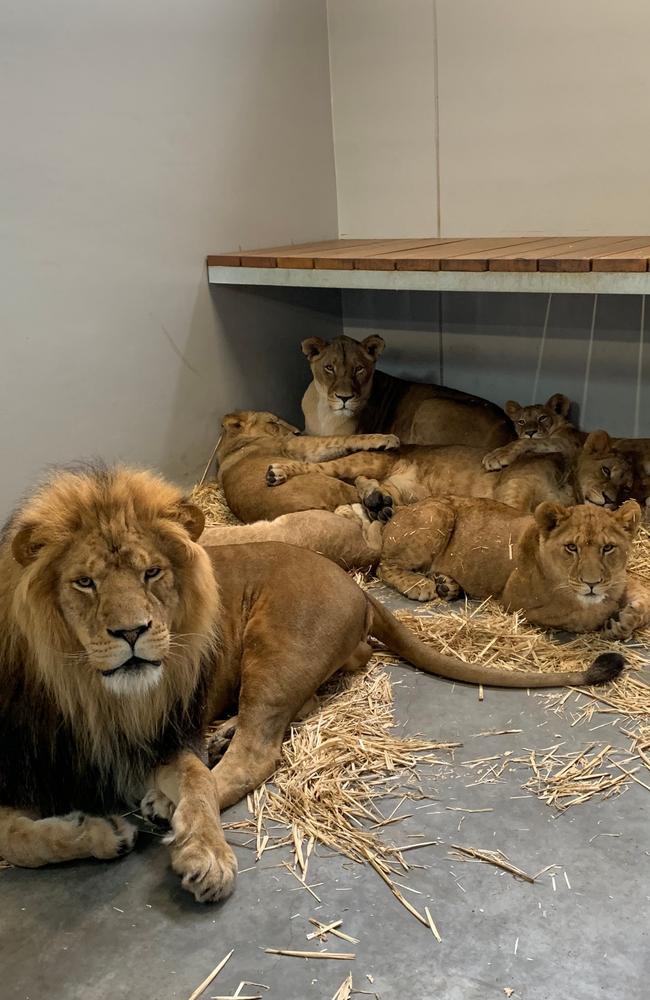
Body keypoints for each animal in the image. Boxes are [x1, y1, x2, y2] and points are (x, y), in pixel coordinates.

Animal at [3, 464, 616, 904]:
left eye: (152, 573)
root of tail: (357, 588)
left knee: (258, 749)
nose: (132, 632)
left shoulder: (170, 728)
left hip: (277, 648)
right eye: (84, 583)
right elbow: (17, 840)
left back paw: (171, 797)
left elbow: (194, 782)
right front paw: (94, 834)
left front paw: (194, 848)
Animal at [266, 430, 632, 524]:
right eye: (607, 470)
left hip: (402, 492)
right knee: (323, 469)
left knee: (367, 487)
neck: (569, 487)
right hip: (368, 458)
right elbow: (516, 512)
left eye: (627, 489)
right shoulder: (512, 488)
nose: (612, 499)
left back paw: (378, 503)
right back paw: (277, 471)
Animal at [300, 334, 512, 448]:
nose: (345, 398)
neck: (325, 413)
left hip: (430, 405)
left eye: (359, 369)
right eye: (329, 367)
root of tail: (506, 426)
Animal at [378, 494, 644, 640]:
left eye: (608, 548)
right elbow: (577, 616)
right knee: (384, 565)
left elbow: (641, 597)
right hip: (437, 514)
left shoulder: (619, 578)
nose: (592, 584)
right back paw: (420, 585)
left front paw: (624, 621)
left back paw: (447, 585)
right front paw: (608, 617)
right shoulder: (516, 602)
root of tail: (402, 508)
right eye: (571, 547)